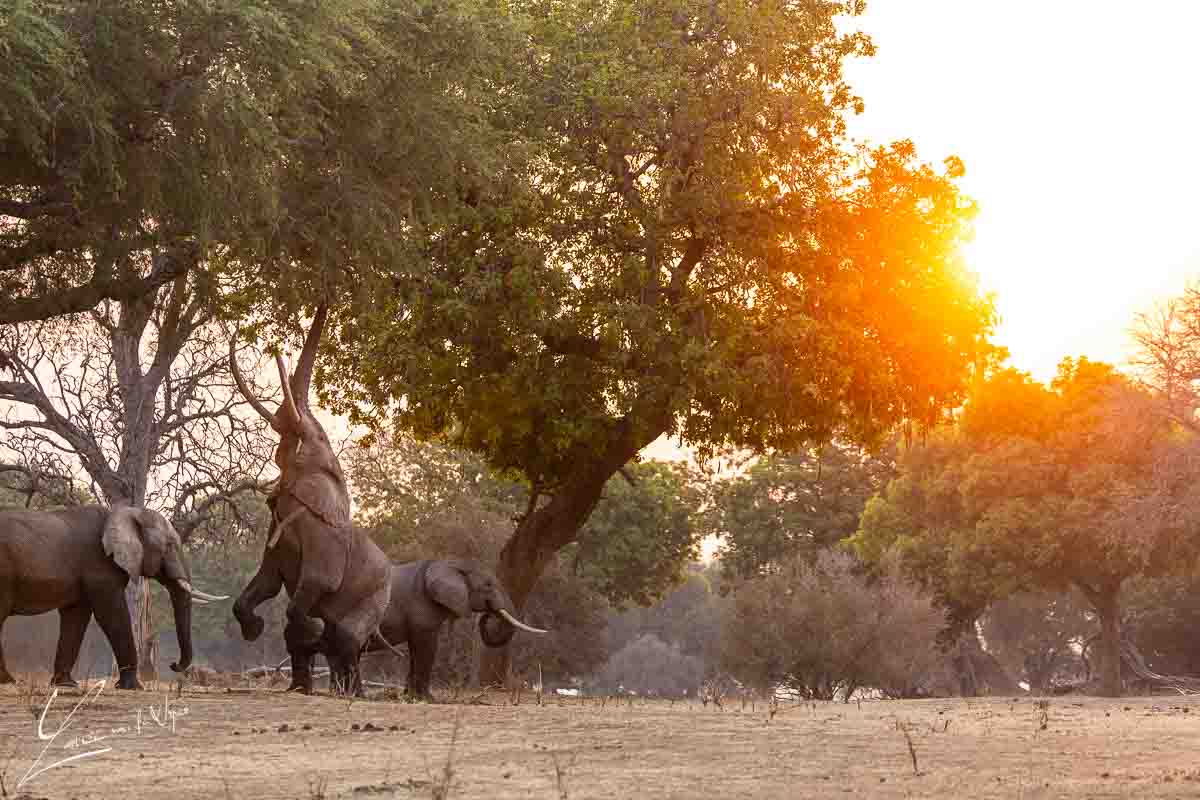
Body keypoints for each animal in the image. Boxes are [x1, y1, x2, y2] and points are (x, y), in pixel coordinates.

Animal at [0, 506, 225, 690]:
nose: (173, 664)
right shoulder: (99, 566)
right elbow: (112, 615)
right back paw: (9, 681)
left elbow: (76, 617)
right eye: (169, 546)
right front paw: (133, 687)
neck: (124, 512)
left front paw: (66, 685)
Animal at [228, 307, 388, 695]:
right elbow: (266, 582)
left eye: (315, 438)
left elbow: (317, 583)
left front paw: (313, 630)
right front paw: (254, 630)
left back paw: (352, 692)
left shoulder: (325, 539)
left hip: (378, 594)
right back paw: (305, 688)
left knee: (346, 636)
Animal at [360, 561, 549, 695]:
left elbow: (416, 649)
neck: (451, 564)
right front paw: (427, 699)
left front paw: (411, 696)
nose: (488, 614)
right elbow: (426, 646)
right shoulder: (421, 604)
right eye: (488, 585)